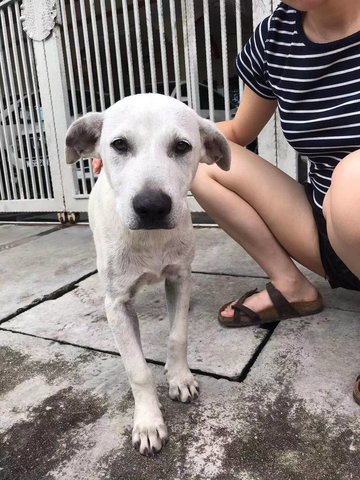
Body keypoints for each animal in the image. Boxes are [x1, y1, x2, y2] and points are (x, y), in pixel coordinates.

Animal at [64, 93, 229, 454]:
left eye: (182, 146)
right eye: (119, 144)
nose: (152, 206)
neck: (150, 239)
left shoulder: (179, 278)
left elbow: (177, 335)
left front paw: (180, 378)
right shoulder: (118, 304)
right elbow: (137, 370)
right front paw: (149, 423)